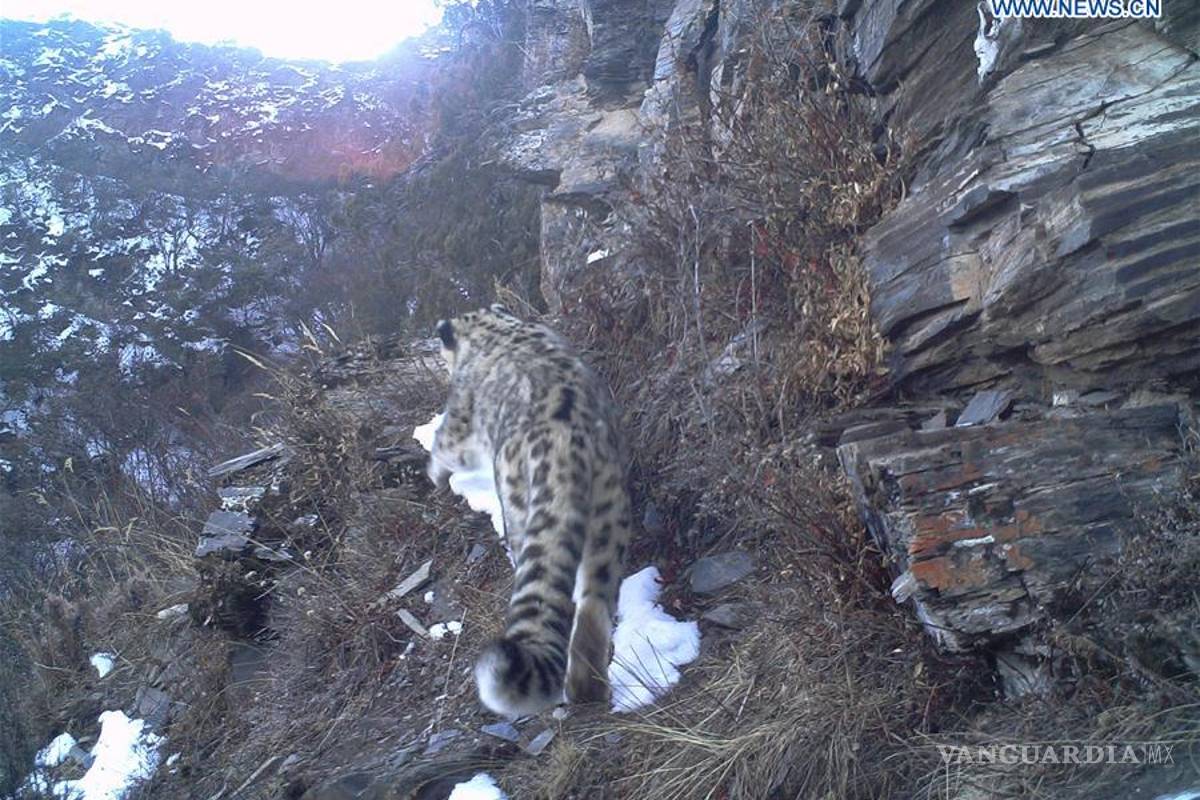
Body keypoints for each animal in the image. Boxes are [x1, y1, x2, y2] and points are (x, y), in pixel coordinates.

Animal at [427, 304, 632, 717]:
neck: (494, 327)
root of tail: (566, 448)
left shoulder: (459, 420)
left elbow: (444, 446)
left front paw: (434, 472)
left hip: (520, 510)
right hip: (609, 515)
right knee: (594, 603)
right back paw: (586, 690)